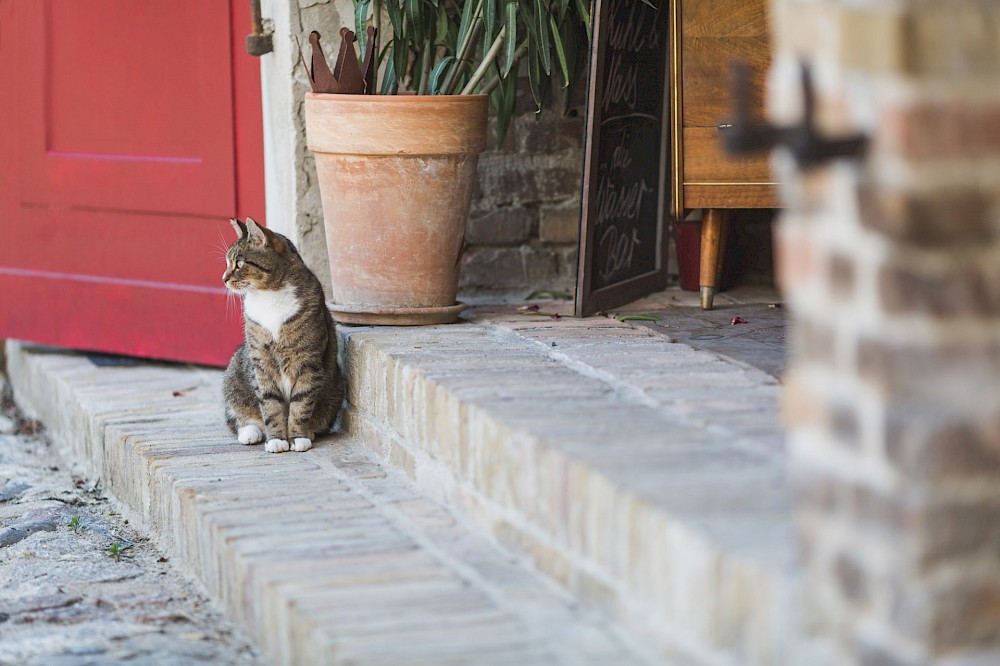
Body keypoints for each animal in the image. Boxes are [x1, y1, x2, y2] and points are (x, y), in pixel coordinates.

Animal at [219, 217, 344, 452]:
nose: (223, 278)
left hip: (336, 387)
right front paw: (276, 439)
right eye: (227, 263)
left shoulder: (308, 361)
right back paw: (250, 433)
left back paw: (310, 431)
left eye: (239, 263)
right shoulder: (261, 362)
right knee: (235, 416)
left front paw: (297, 437)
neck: (269, 296)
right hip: (234, 370)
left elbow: (301, 404)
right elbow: (270, 405)